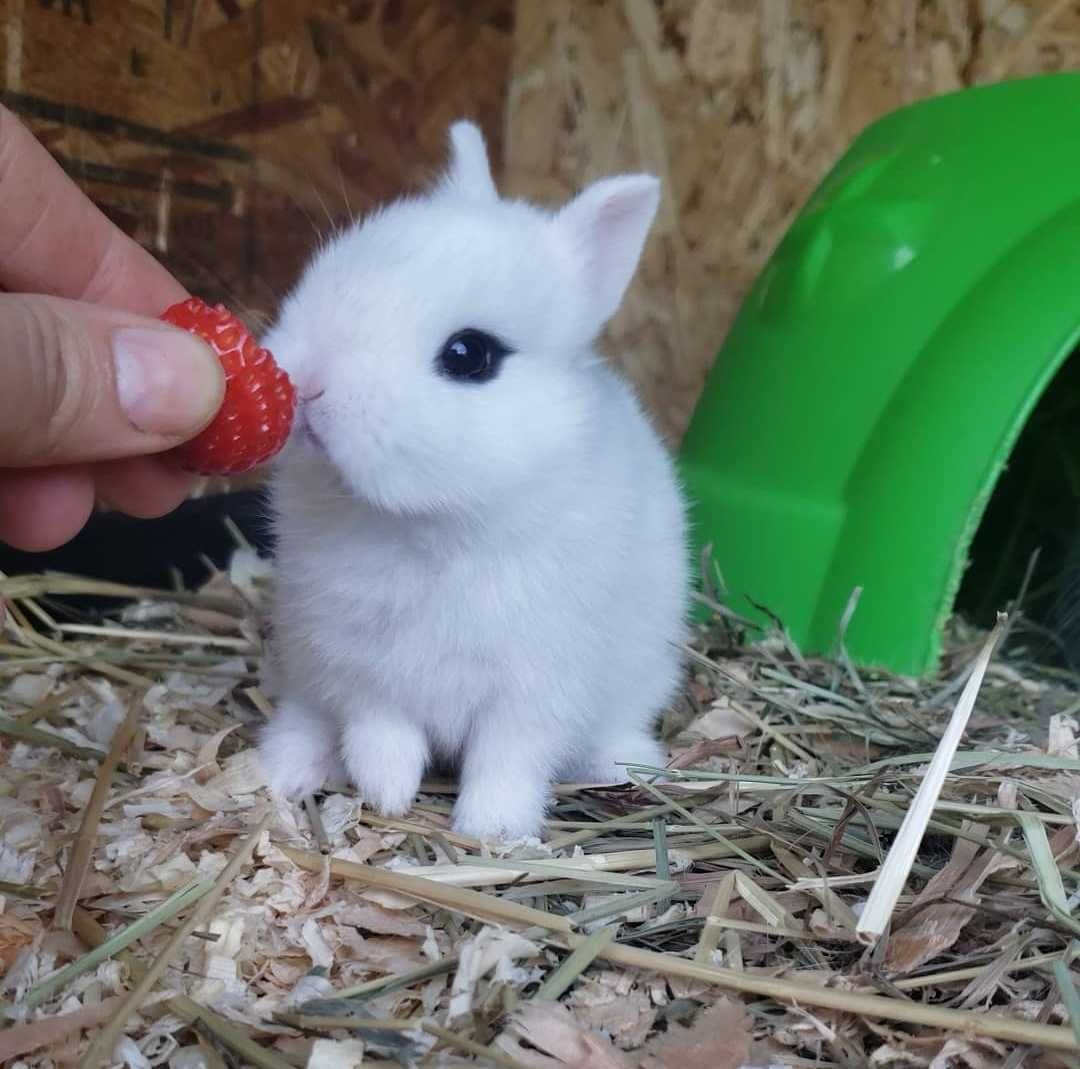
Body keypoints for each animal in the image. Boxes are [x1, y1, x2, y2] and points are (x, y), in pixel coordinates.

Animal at [257, 121, 686, 842]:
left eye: (469, 355)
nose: (309, 384)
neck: (429, 524)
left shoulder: (534, 688)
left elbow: (506, 757)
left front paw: (490, 829)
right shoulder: (360, 665)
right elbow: (381, 730)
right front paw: (390, 793)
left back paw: (629, 764)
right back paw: (283, 772)